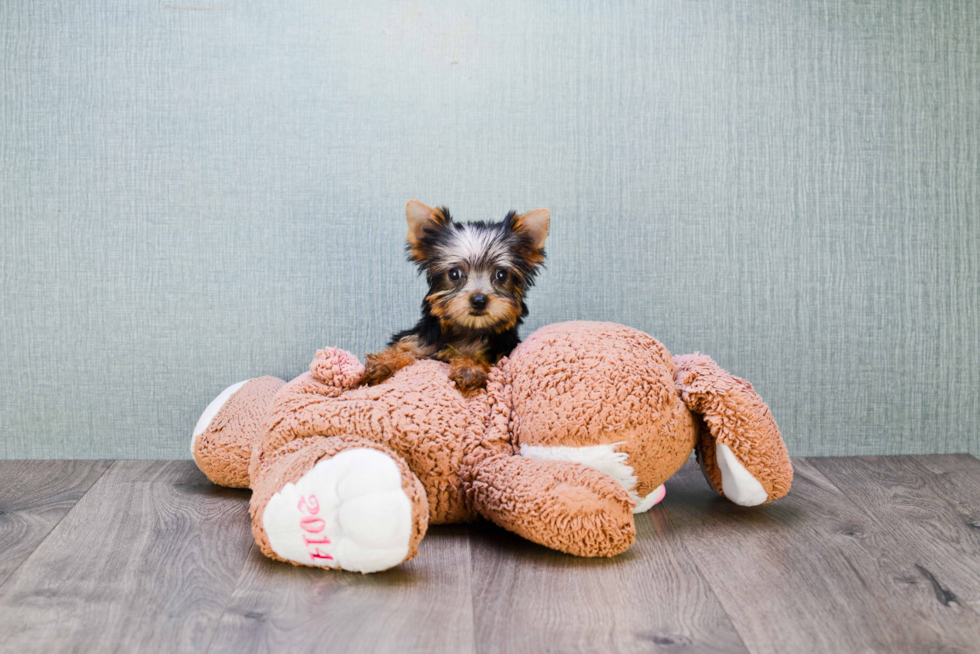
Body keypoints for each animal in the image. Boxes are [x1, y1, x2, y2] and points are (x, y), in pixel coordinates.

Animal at [364, 200, 552, 394]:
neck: (467, 330)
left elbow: (481, 357)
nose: (479, 301)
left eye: (501, 275)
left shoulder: (499, 350)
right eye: (454, 274)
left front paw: (469, 369)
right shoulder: (421, 343)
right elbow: (404, 349)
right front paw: (383, 362)